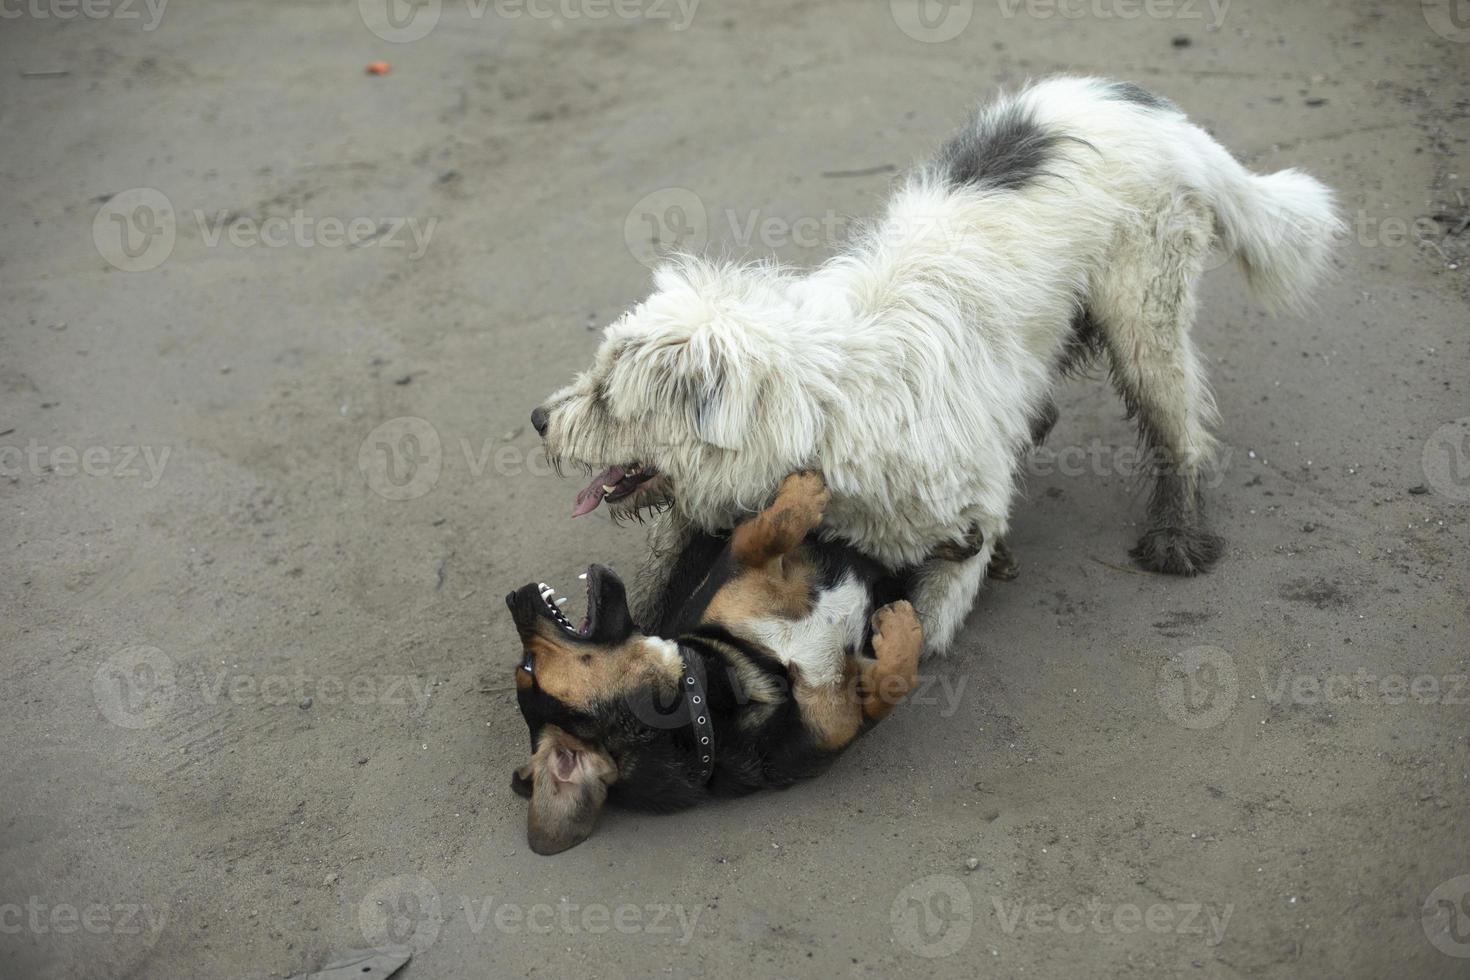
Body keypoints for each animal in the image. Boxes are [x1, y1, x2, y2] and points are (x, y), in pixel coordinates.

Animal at [505, 473, 917, 852]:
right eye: (526, 668)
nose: (512, 596)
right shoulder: (846, 716)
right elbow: (894, 681)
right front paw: (902, 624)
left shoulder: (733, 567)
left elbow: (767, 530)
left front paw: (799, 490)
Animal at [532, 78, 1346, 658]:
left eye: (606, 395)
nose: (538, 419)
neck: (821, 410)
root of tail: (1170, 122)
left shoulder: (960, 521)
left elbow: (924, 619)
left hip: (1143, 312)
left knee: (1182, 425)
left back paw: (1175, 533)